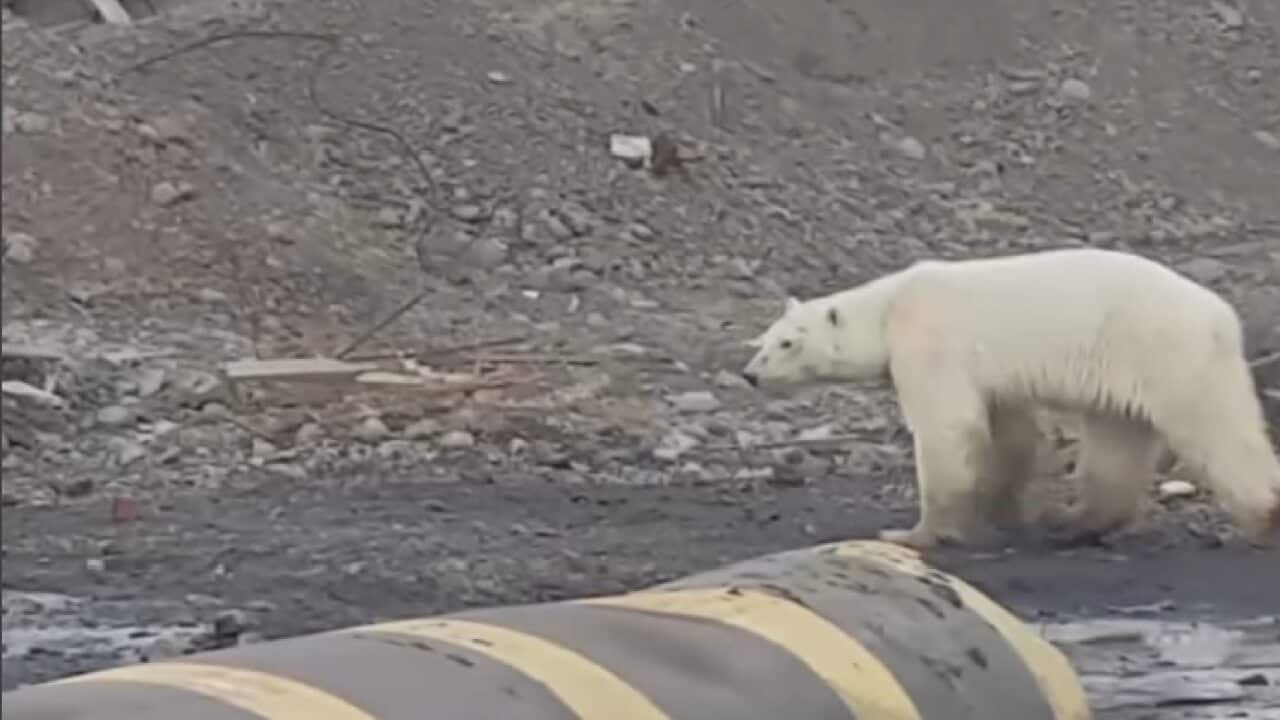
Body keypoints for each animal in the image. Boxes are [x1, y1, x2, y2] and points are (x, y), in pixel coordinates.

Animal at [740, 247, 1280, 550]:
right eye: (762, 339)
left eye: (787, 343)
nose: (749, 375)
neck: (889, 307)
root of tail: (1223, 314)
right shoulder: (992, 376)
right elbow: (1008, 430)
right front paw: (1003, 510)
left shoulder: (930, 341)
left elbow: (946, 426)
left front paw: (917, 533)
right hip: (1128, 368)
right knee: (1115, 441)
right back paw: (1072, 521)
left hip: (1166, 349)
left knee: (1217, 429)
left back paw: (1263, 518)